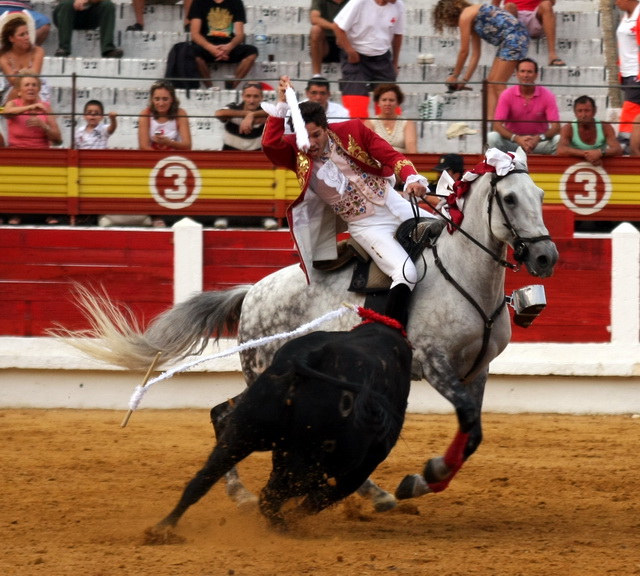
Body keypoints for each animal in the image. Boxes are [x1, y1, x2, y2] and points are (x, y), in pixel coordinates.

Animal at [156, 318, 416, 528]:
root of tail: (312, 359)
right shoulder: (362, 464)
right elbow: (317, 500)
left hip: (243, 432)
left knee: (205, 478)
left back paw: (164, 527)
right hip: (321, 460)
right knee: (273, 497)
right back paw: (281, 525)